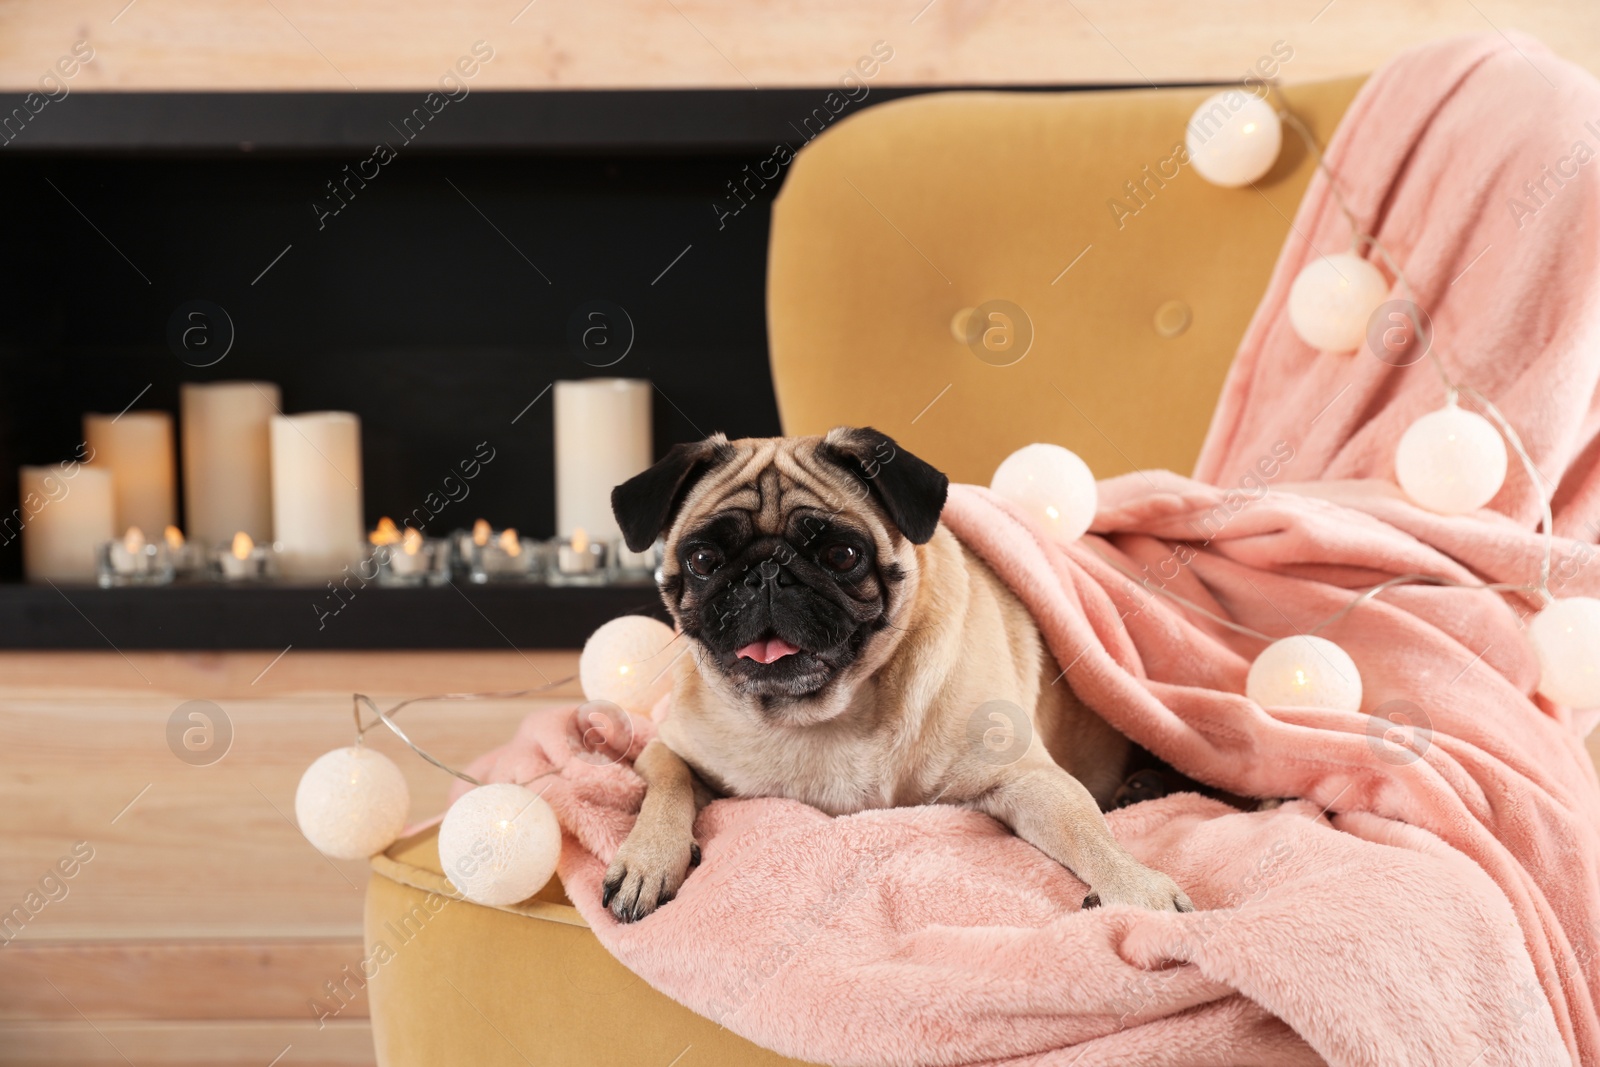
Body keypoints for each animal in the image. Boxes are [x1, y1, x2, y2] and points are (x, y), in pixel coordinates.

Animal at [601, 428, 1190, 921]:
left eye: (842, 554)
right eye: (702, 559)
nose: (767, 573)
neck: (822, 715)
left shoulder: (1029, 778)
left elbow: (1087, 832)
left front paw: (1137, 889)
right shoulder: (666, 747)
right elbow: (668, 786)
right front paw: (647, 860)